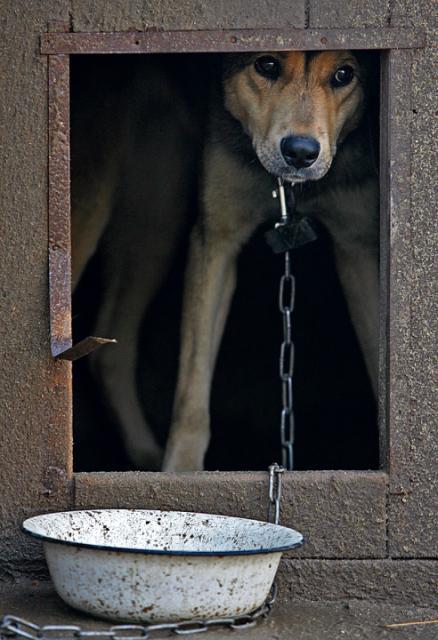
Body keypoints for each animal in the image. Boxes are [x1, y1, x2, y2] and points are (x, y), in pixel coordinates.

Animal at [72, 51, 380, 470]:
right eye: (266, 65)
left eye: (344, 74)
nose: (301, 153)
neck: (291, 193)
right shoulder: (216, 241)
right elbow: (192, 390)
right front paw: (182, 472)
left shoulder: (359, 248)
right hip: (91, 209)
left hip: (155, 220)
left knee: (109, 351)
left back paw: (144, 456)